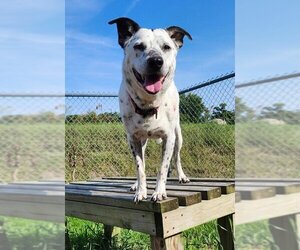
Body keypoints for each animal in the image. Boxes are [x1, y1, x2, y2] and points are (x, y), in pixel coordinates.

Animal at [109, 16, 191, 202]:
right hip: (142, 141)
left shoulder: (169, 138)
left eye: (166, 47)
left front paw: (159, 192)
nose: (156, 61)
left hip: (179, 137)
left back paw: (181, 176)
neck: (149, 105)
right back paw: (135, 185)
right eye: (139, 46)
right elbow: (140, 167)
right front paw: (140, 191)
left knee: (177, 158)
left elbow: (163, 167)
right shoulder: (133, 139)